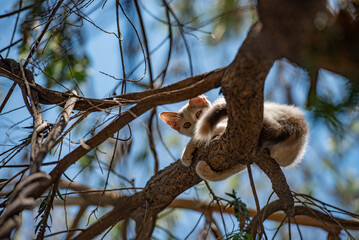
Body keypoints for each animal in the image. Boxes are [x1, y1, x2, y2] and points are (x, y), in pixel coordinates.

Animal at [160, 94, 310, 181]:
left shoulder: (223, 125)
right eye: (187, 125)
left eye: (198, 114)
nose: (197, 124)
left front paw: (186, 153)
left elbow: (200, 137)